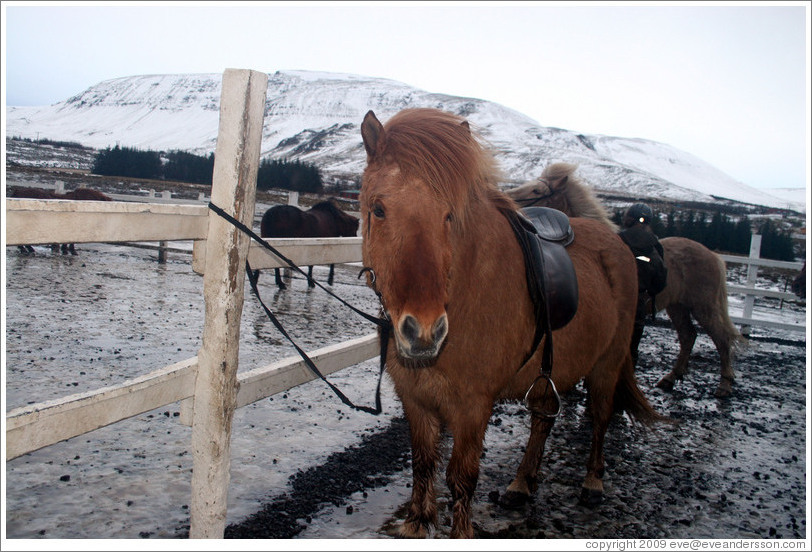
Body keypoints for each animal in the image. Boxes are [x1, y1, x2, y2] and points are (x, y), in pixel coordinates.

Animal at [358, 109, 664, 540]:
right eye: (379, 209)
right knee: (542, 421)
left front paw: (460, 533)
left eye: (449, 215)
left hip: (607, 364)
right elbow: (422, 463)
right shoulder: (415, 399)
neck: (462, 290)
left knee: (600, 418)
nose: (424, 332)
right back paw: (521, 484)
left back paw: (592, 483)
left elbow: (461, 477)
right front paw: (417, 522)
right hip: (551, 372)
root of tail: (616, 240)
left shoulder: (473, 407)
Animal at [508, 162, 748, 398]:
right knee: (688, 336)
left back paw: (724, 385)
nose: (508, 197)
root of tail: (714, 256)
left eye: (536, 190)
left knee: (722, 338)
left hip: (703, 306)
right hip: (678, 307)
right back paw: (670, 378)